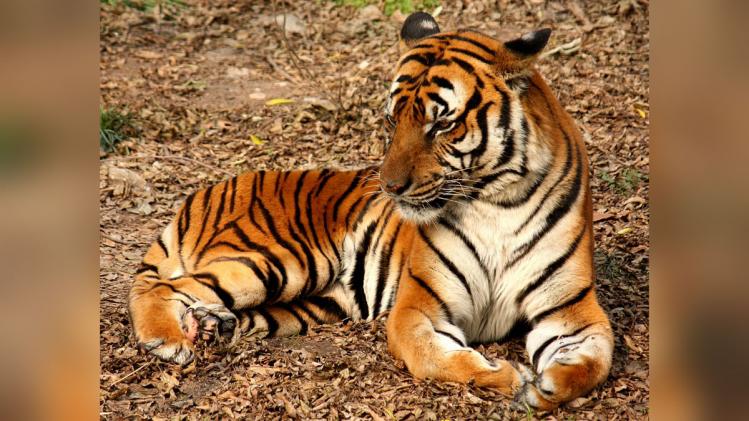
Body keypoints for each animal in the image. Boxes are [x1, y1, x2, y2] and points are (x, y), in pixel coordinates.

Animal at [128, 12, 614, 410]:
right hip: (280, 260)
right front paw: (507, 376)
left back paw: (213, 326)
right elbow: (435, 357)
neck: (496, 202)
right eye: (392, 120)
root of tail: (207, 191)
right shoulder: (419, 305)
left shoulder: (571, 310)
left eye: (442, 123)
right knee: (162, 287)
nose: (391, 187)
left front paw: (547, 386)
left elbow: (596, 361)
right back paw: (167, 341)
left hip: (315, 301)